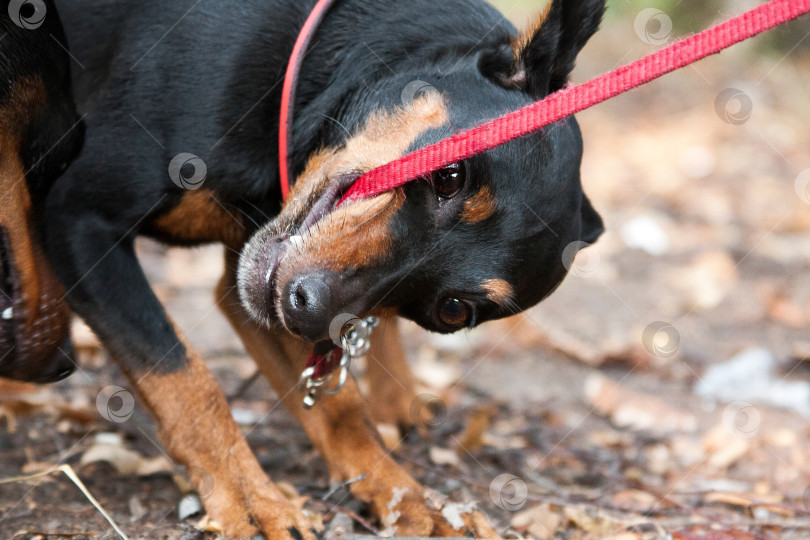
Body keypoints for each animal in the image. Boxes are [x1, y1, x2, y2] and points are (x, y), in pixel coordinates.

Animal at [44, 2, 600, 536]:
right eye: (449, 176)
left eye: (453, 311)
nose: (305, 309)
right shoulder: (75, 219)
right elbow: (185, 379)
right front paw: (251, 502)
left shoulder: (249, 289)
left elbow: (341, 408)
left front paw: (406, 495)